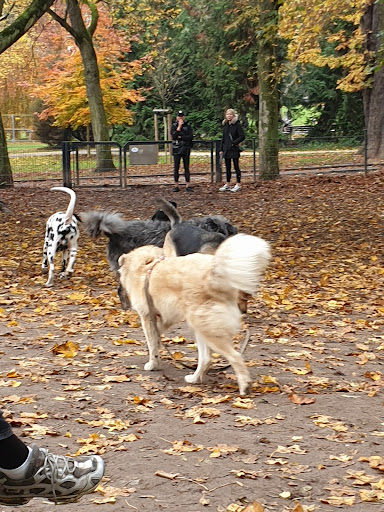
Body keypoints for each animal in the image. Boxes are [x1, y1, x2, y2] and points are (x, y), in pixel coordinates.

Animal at [118, 234, 272, 394]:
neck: (147, 265)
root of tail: (213, 274)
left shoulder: (147, 317)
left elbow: (152, 343)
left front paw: (153, 364)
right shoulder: (165, 318)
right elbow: (156, 337)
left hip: (205, 328)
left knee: (234, 356)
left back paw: (244, 386)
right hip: (200, 328)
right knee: (206, 359)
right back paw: (195, 379)